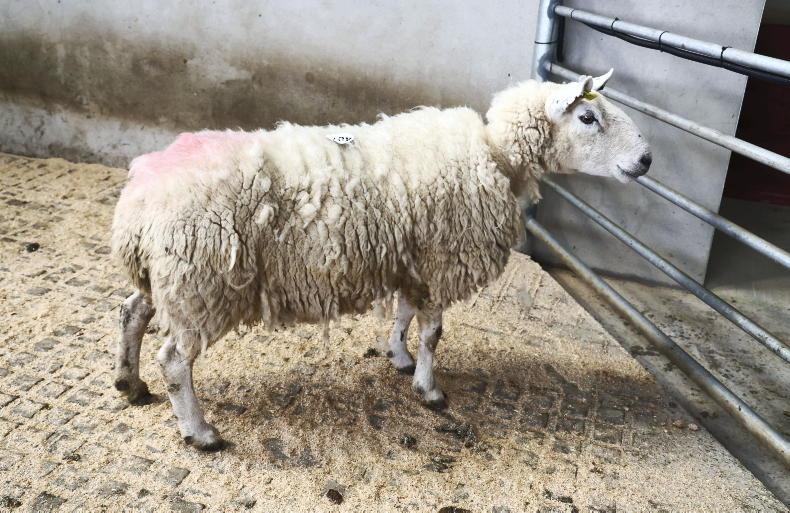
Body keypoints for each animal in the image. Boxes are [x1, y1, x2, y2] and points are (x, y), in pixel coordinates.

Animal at [111, 71, 651, 450]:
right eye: (588, 119)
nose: (646, 161)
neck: (497, 156)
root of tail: (141, 196)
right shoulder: (441, 260)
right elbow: (433, 333)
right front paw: (430, 390)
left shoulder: (414, 260)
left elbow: (406, 315)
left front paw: (399, 357)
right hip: (201, 283)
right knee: (175, 360)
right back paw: (199, 432)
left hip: (166, 277)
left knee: (132, 312)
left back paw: (129, 382)